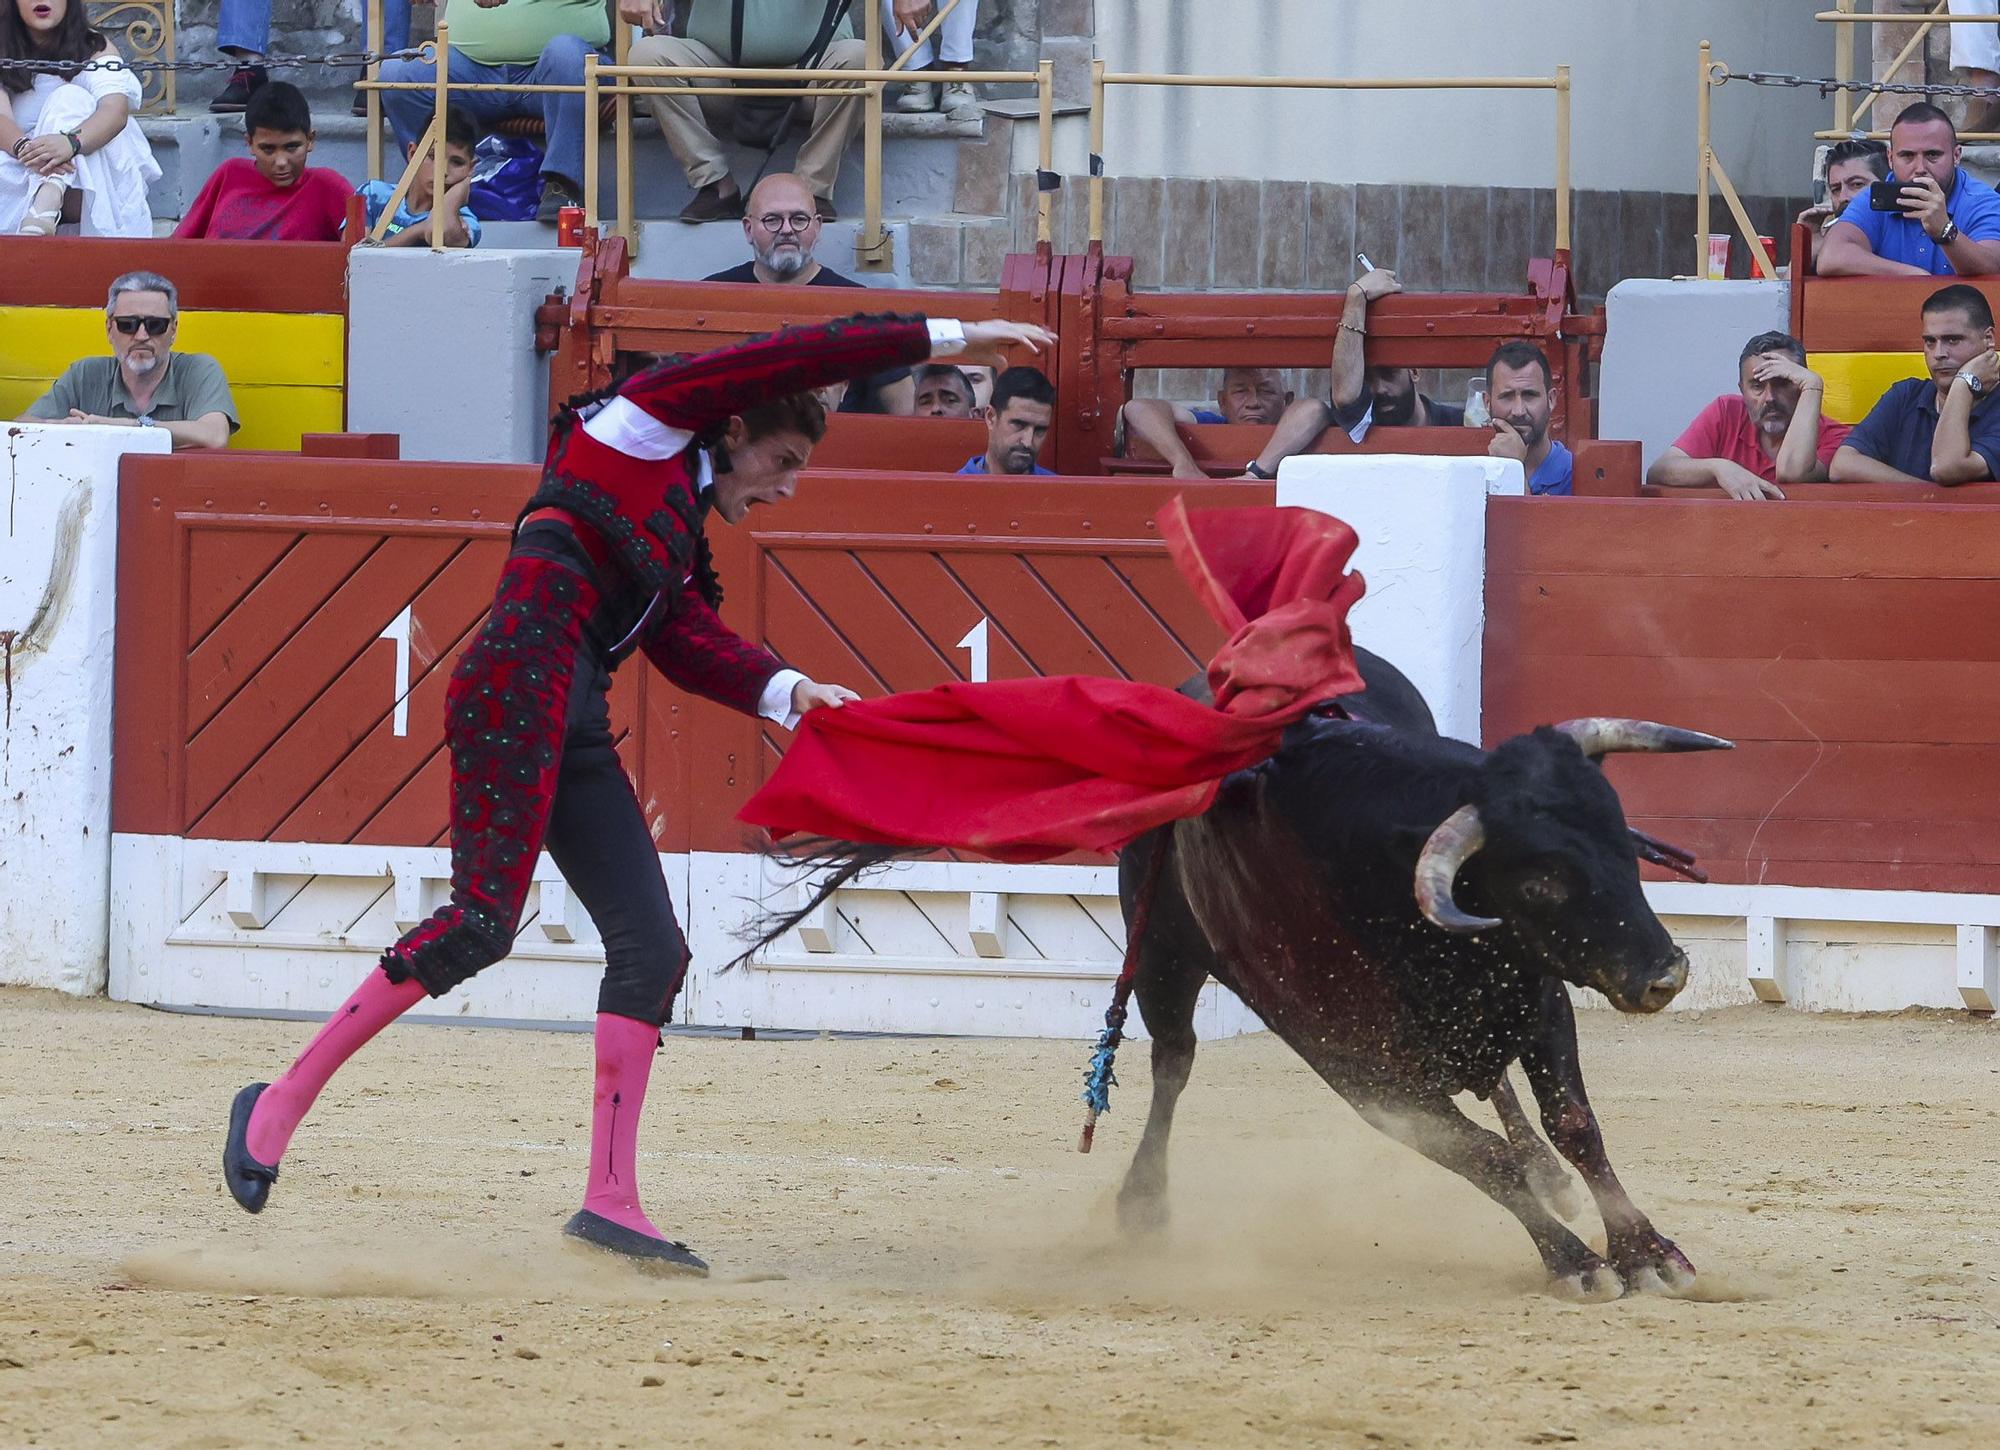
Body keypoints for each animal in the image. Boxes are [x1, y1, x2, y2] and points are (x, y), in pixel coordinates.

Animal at [1120, 652, 1728, 1296]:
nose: (1666, 973)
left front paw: (1646, 1254)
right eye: (1537, 884)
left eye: (1623, 844)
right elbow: (1481, 1157)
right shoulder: (1361, 1071)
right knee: (1173, 1061)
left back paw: (1549, 1174)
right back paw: (1141, 1204)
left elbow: (1574, 1126)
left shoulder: (1537, 999)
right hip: (1160, 960)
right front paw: (1576, 1262)